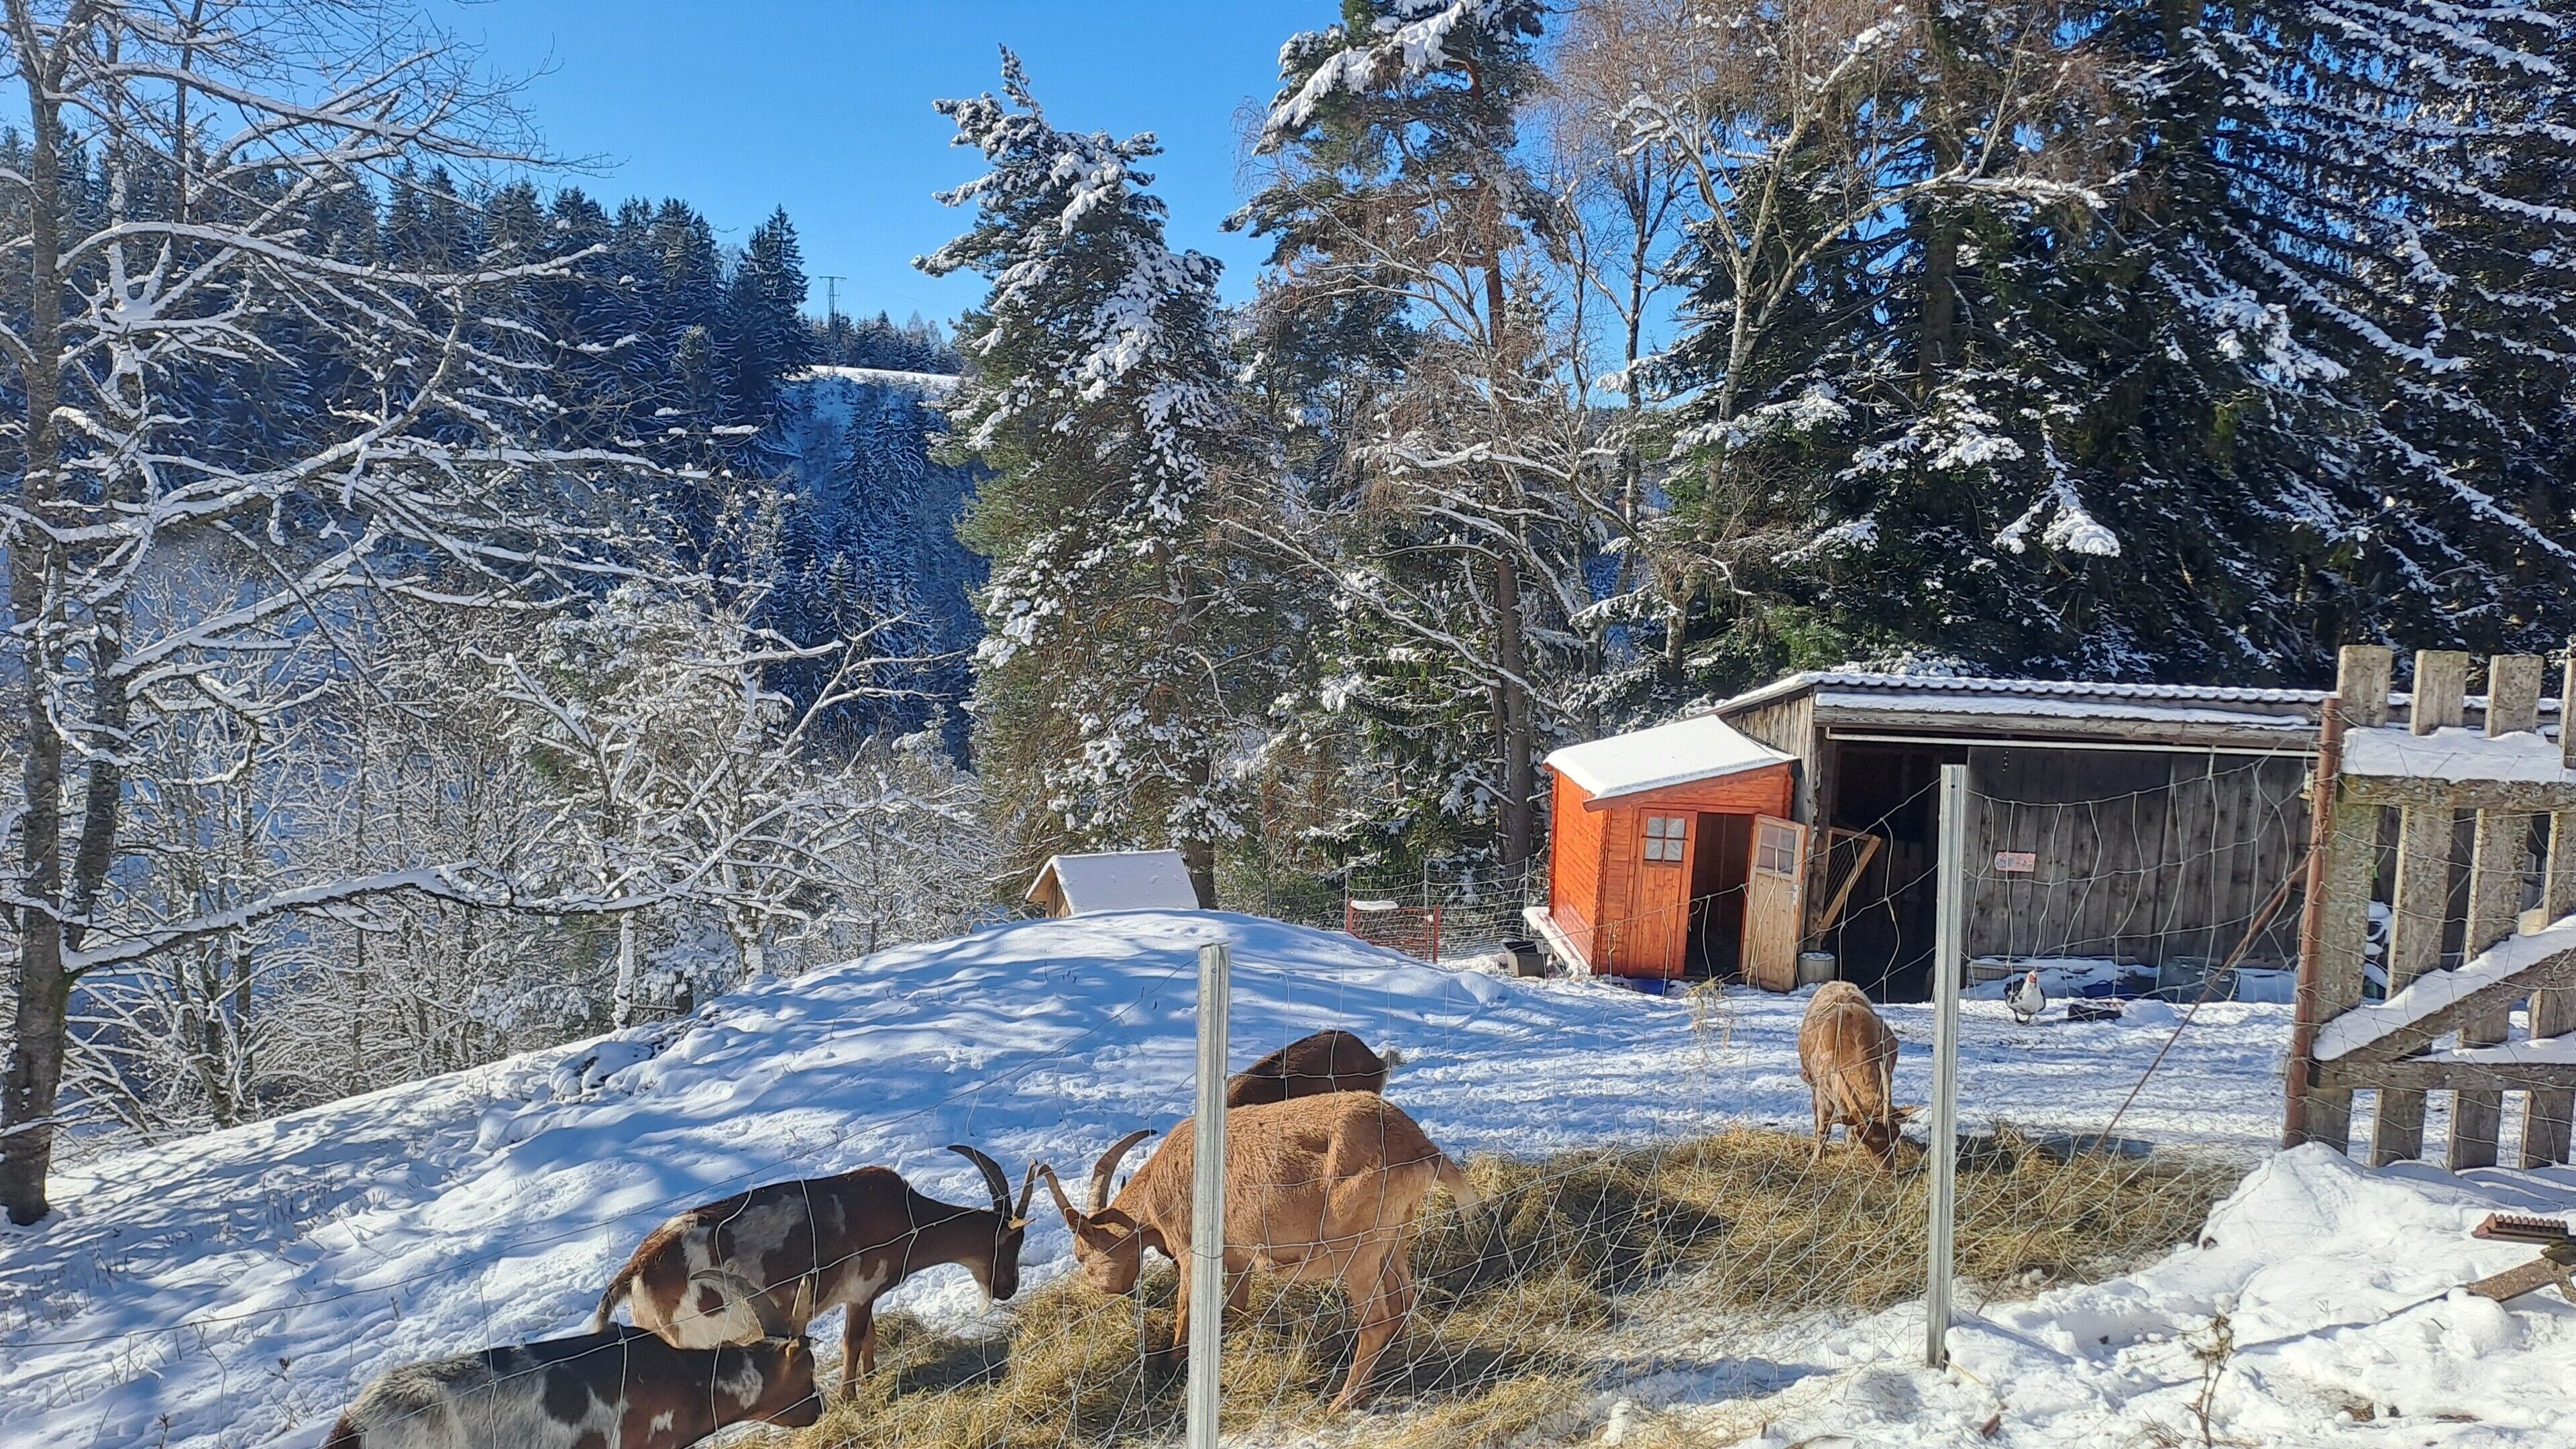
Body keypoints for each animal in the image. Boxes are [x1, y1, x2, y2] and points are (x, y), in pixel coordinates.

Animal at [591, 1144, 1039, 1396]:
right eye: (1011, 1245)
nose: (1008, 1289)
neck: (908, 1216)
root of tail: (635, 1270)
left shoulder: (862, 1294)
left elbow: (869, 1337)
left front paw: (871, 1379)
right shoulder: (862, 1287)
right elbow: (851, 1341)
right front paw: (849, 1397)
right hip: (691, 1334)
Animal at [1042, 1091, 1478, 1413]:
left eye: (1082, 1256)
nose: (1106, 1291)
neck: (1159, 1188)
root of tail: (1420, 1148)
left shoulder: (1192, 1252)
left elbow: (1186, 1310)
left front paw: (1170, 1366)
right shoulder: (1238, 1257)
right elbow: (1235, 1307)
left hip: (1357, 1251)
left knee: (1375, 1323)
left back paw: (1340, 1402)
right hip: (1393, 1238)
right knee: (1402, 1301)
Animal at [1797, 981, 1915, 1166]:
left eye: (1896, 1133)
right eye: (1865, 1139)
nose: (1887, 1169)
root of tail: (1837, 982)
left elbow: (1848, 1124)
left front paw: (1849, 1148)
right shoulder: (1823, 1090)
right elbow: (1824, 1128)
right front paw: (1817, 1158)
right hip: (1811, 1080)